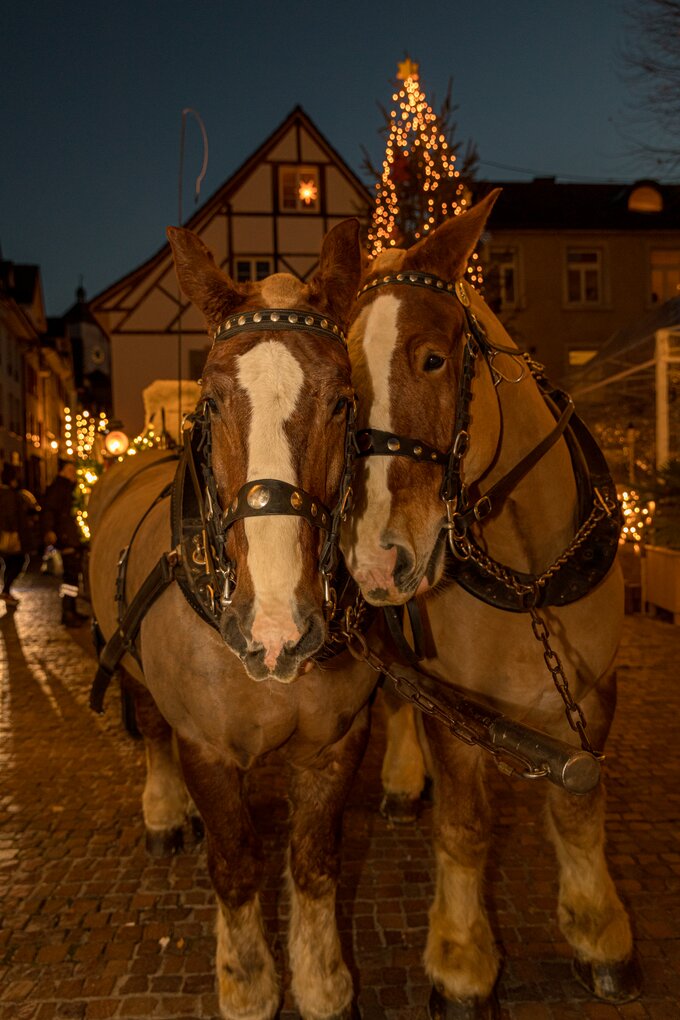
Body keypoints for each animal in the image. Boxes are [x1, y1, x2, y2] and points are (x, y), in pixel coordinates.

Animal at [87, 221, 375, 1020]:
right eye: (210, 404)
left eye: (343, 401)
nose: (276, 628)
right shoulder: (207, 748)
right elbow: (238, 864)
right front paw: (247, 983)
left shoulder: (338, 743)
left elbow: (313, 863)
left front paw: (322, 984)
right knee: (152, 731)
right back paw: (163, 813)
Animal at [340, 192, 644, 1020]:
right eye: (340, 381)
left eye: (432, 359)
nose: (375, 559)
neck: (529, 578)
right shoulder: (459, 709)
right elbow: (466, 827)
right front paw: (462, 963)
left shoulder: (594, 693)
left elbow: (579, 808)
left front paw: (600, 935)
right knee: (397, 701)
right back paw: (402, 780)